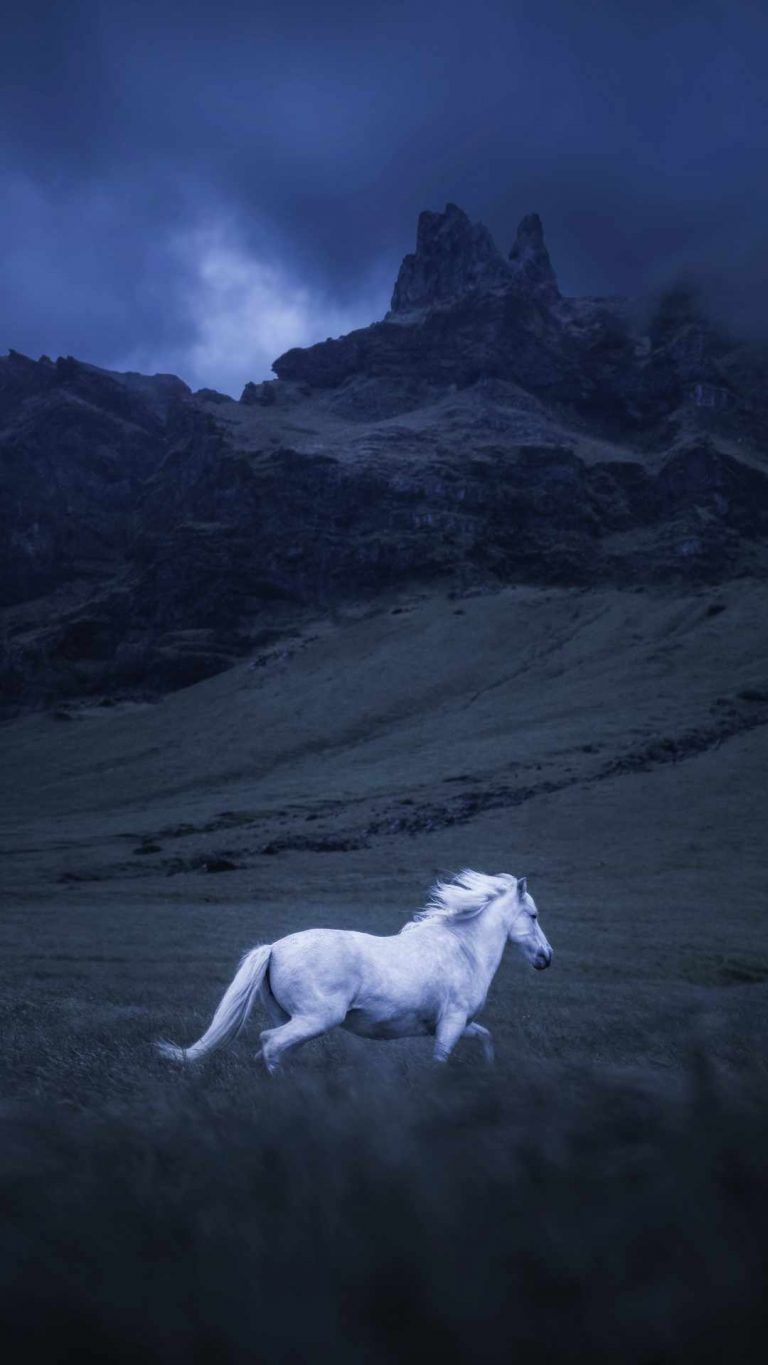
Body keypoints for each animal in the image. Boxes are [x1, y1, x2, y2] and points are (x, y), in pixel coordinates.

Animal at [157, 869, 553, 1073]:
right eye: (533, 915)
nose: (546, 958)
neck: (463, 949)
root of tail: (274, 948)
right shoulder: (451, 1023)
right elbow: (440, 1061)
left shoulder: (454, 1024)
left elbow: (486, 1037)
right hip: (317, 1018)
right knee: (270, 1044)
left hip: (290, 1016)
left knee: (272, 1048)